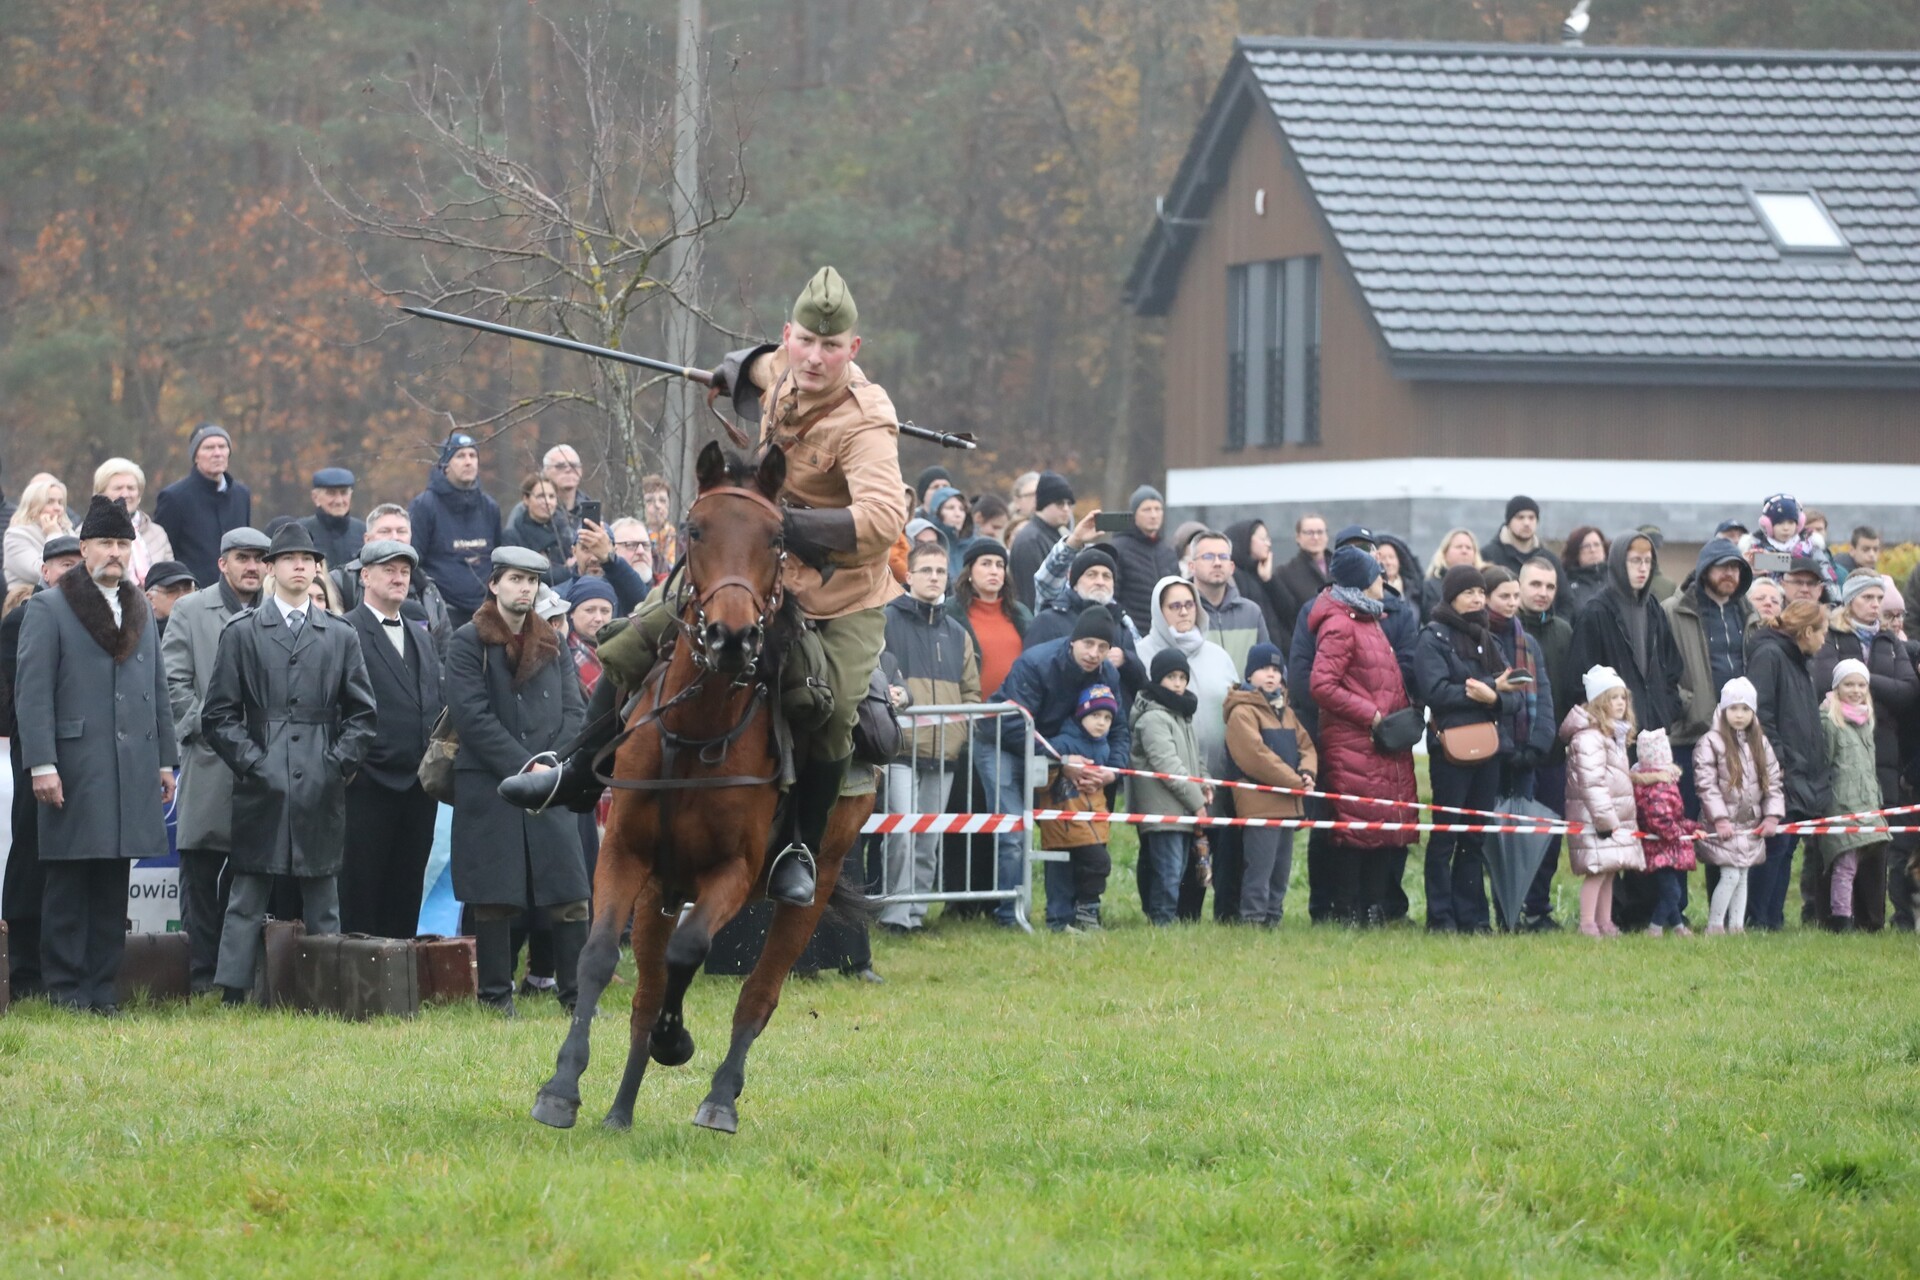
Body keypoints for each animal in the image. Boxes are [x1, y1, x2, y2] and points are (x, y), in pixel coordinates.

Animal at [531, 440, 878, 1135]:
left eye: (778, 538)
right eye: (694, 529)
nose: (731, 636)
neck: (697, 730)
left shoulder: (733, 872)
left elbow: (690, 953)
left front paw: (677, 1041)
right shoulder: (625, 854)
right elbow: (599, 956)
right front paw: (562, 1086)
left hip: (813, 882)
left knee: (758, 994)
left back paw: (720, 1096)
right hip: (659, 888)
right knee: (644, 994)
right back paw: (621, 1110)